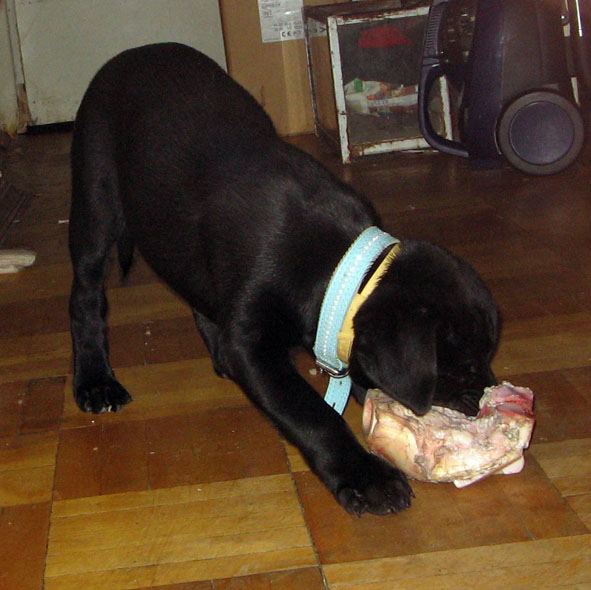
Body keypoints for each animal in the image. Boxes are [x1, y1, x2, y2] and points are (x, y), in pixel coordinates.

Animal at [68, 43, 500, 515]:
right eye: (463, 366)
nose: (486, 398)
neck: (337, 266)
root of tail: (132, 52)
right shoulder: (252, 346)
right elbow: (311, 413)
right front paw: (366, 477)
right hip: (95, 202)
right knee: (86, 297)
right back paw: (96, 381)